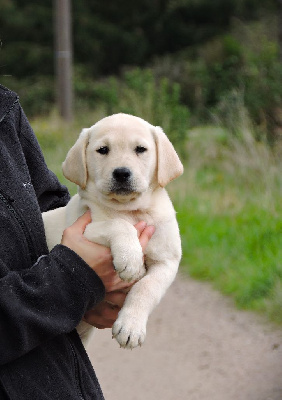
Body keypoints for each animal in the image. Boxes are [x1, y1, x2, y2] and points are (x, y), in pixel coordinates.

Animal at [41, 113, 183, 350]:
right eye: (103, 150)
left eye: (140, 149)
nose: (122, 173)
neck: (131, 211)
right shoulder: (83, 230)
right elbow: (118, 224)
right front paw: (131, 260)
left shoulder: (167, 261)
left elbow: (146, 288)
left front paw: (131, 326)